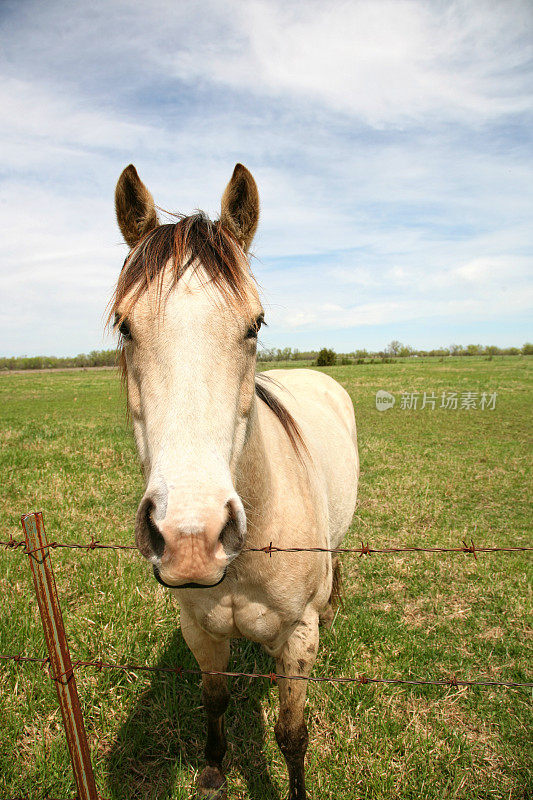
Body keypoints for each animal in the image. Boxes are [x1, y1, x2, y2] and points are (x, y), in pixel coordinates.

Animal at [110, 164, 360, 800]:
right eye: (125, 326)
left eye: (255, 324)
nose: (190, 539)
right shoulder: (200, 631)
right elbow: (215, 701)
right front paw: (214, 771)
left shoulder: (298, 638)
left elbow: (292, 735)